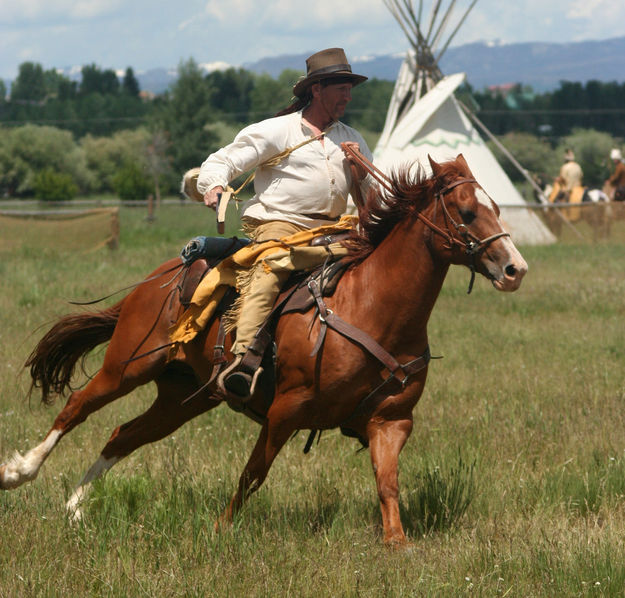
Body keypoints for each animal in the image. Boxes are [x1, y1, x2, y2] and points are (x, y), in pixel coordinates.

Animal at [0, 156, 528, 548]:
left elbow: (388, 482)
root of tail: (159, 279)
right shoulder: (285, 411)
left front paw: (396, 544)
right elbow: (253, 473)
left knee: (122, 435)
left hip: (184, 396)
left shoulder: (392, 420)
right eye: (466, 212)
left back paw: (75, 509)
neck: (371, 306)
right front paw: (219, 530)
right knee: (76, 407)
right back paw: (19, 472)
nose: (515, 269)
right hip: (127, 366)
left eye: (498, 207)